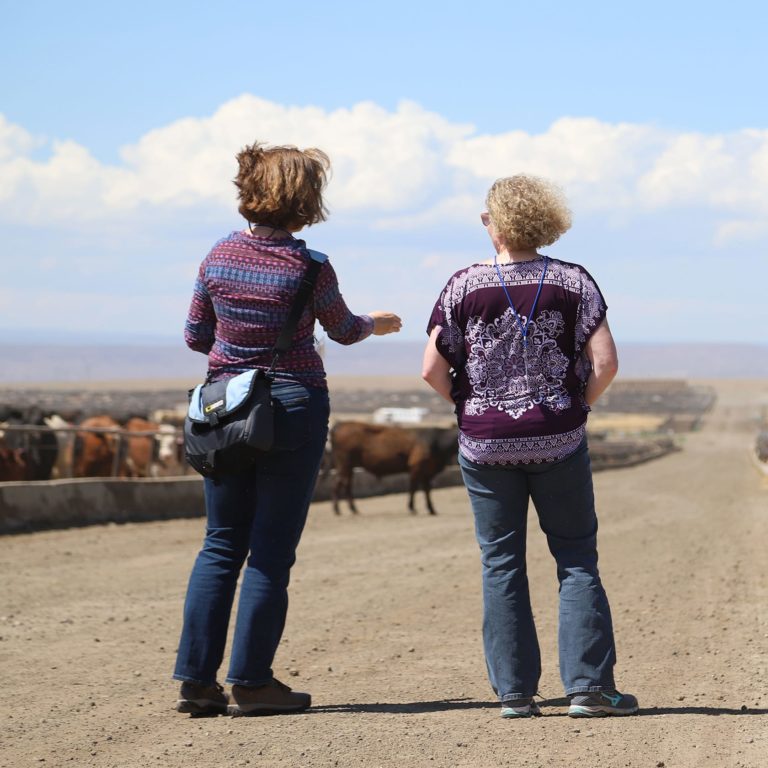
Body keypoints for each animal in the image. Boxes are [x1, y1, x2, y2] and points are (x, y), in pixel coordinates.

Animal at [328, 420, 456, 516]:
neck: (436, 441)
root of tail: (340, 424)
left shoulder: (427, 472)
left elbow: (427, 490)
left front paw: (431, 509)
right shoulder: (416, 467)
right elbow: (413, 488)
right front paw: (412, 508)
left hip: (346, 466)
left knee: (343, 484)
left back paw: (346, 509)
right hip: (344, 464)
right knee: (342, 484)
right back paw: (344, 509)